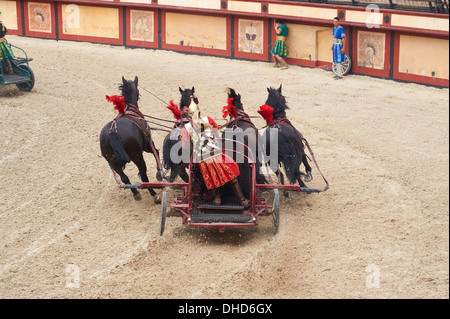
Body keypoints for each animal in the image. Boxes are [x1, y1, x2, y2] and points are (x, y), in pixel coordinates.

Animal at [99, 76, 163, 204]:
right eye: (138, 90)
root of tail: (113, 131)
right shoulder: (148, 145)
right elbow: (157, 153)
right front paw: (159, 173)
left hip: (112, 162)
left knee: (124, 178)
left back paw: (136, 193)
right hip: (137, 156)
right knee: (144, 176)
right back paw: (154, 194)